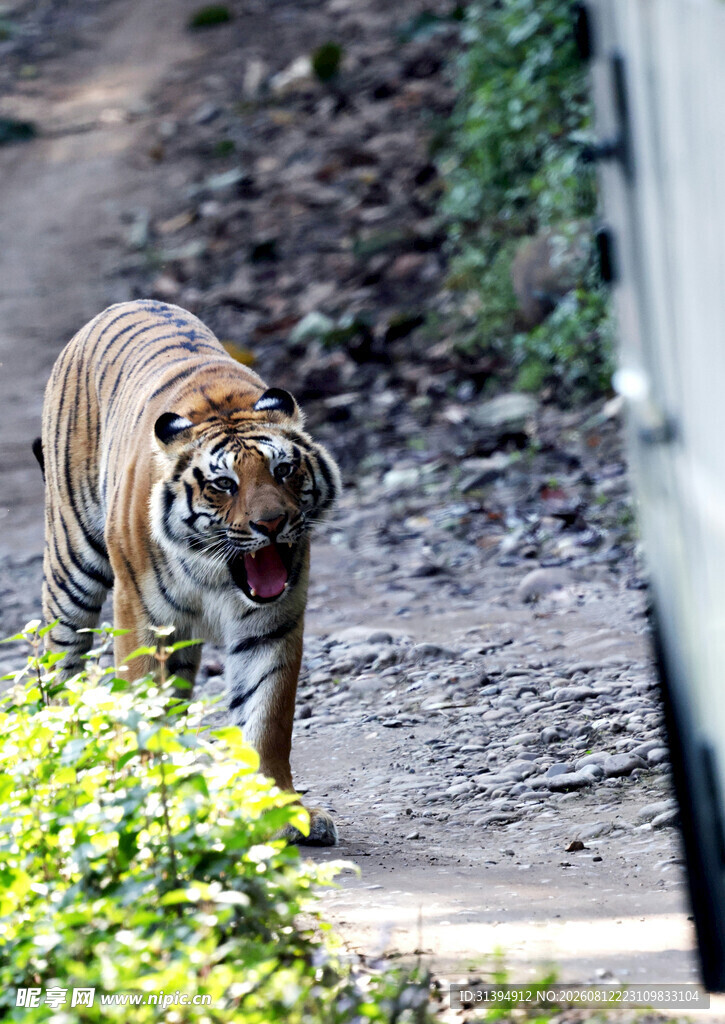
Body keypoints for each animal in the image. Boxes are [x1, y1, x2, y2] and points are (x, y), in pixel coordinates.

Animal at [36, 299, 341, 845]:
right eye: (223, 484)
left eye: (284, 470)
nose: (271, 524)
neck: (216, 572)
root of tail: (122, 304)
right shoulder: (140, 616)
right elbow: (141, 705)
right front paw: (146, 802)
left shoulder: (272, 622)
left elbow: (268, 717)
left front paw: (279, 810)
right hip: (72, 567)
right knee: (59, 667)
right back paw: (62, 769)